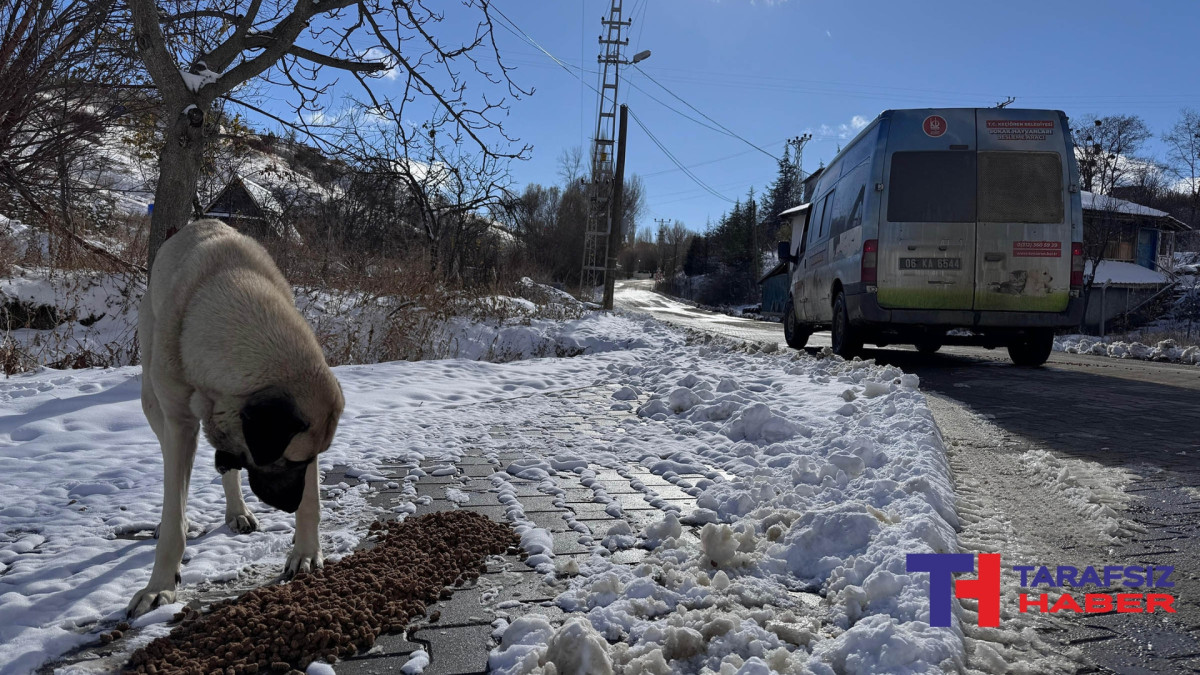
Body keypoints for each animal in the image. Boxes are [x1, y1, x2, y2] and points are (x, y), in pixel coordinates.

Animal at [129, 219, 345, 614]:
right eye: (285, 460)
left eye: (305, 460)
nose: (288, 505)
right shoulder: (180, 425)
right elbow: (173, 516)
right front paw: (159, 586)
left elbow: (313, 501)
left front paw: (306, 552)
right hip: (153, 401)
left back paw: (237, 510)